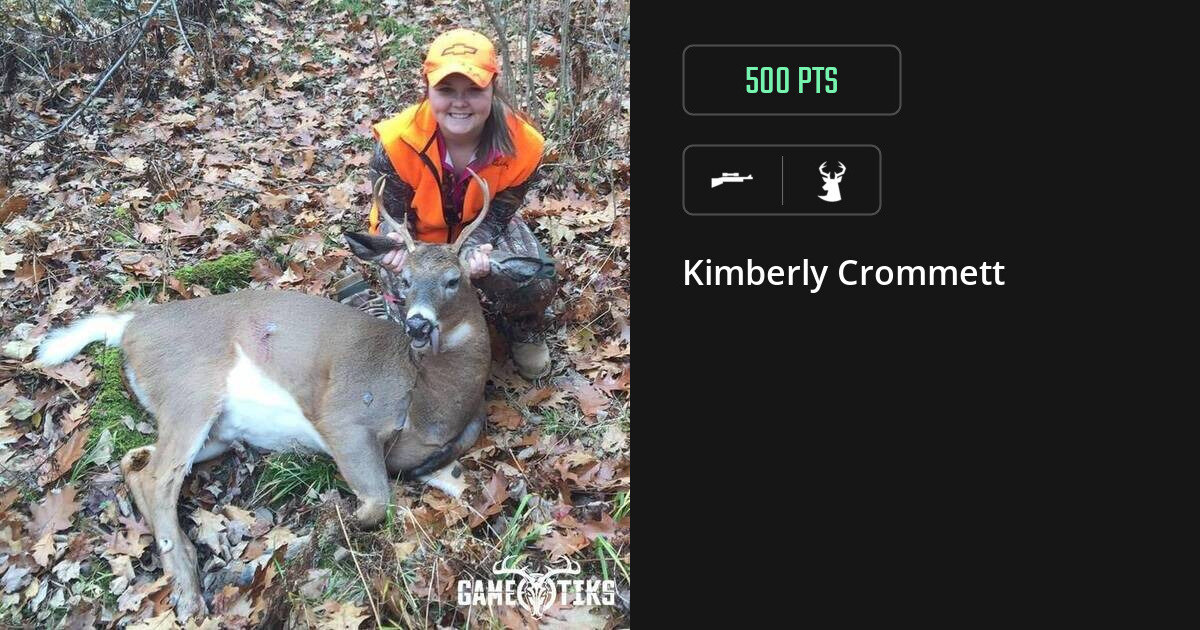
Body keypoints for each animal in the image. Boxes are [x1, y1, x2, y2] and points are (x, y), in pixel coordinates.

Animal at [33, 173, 510, 621]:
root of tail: (129, 325)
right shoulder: (344, 417)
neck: (429, 397)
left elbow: (457, 483)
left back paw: (185, 563)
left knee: (135, 463)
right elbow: (377, 502)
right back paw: (188, 592)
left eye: (453, 280)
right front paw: (303, 545)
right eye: (406, 281)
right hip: (190, 393)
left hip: (215, 430)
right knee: (158, 477)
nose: (417, 324)